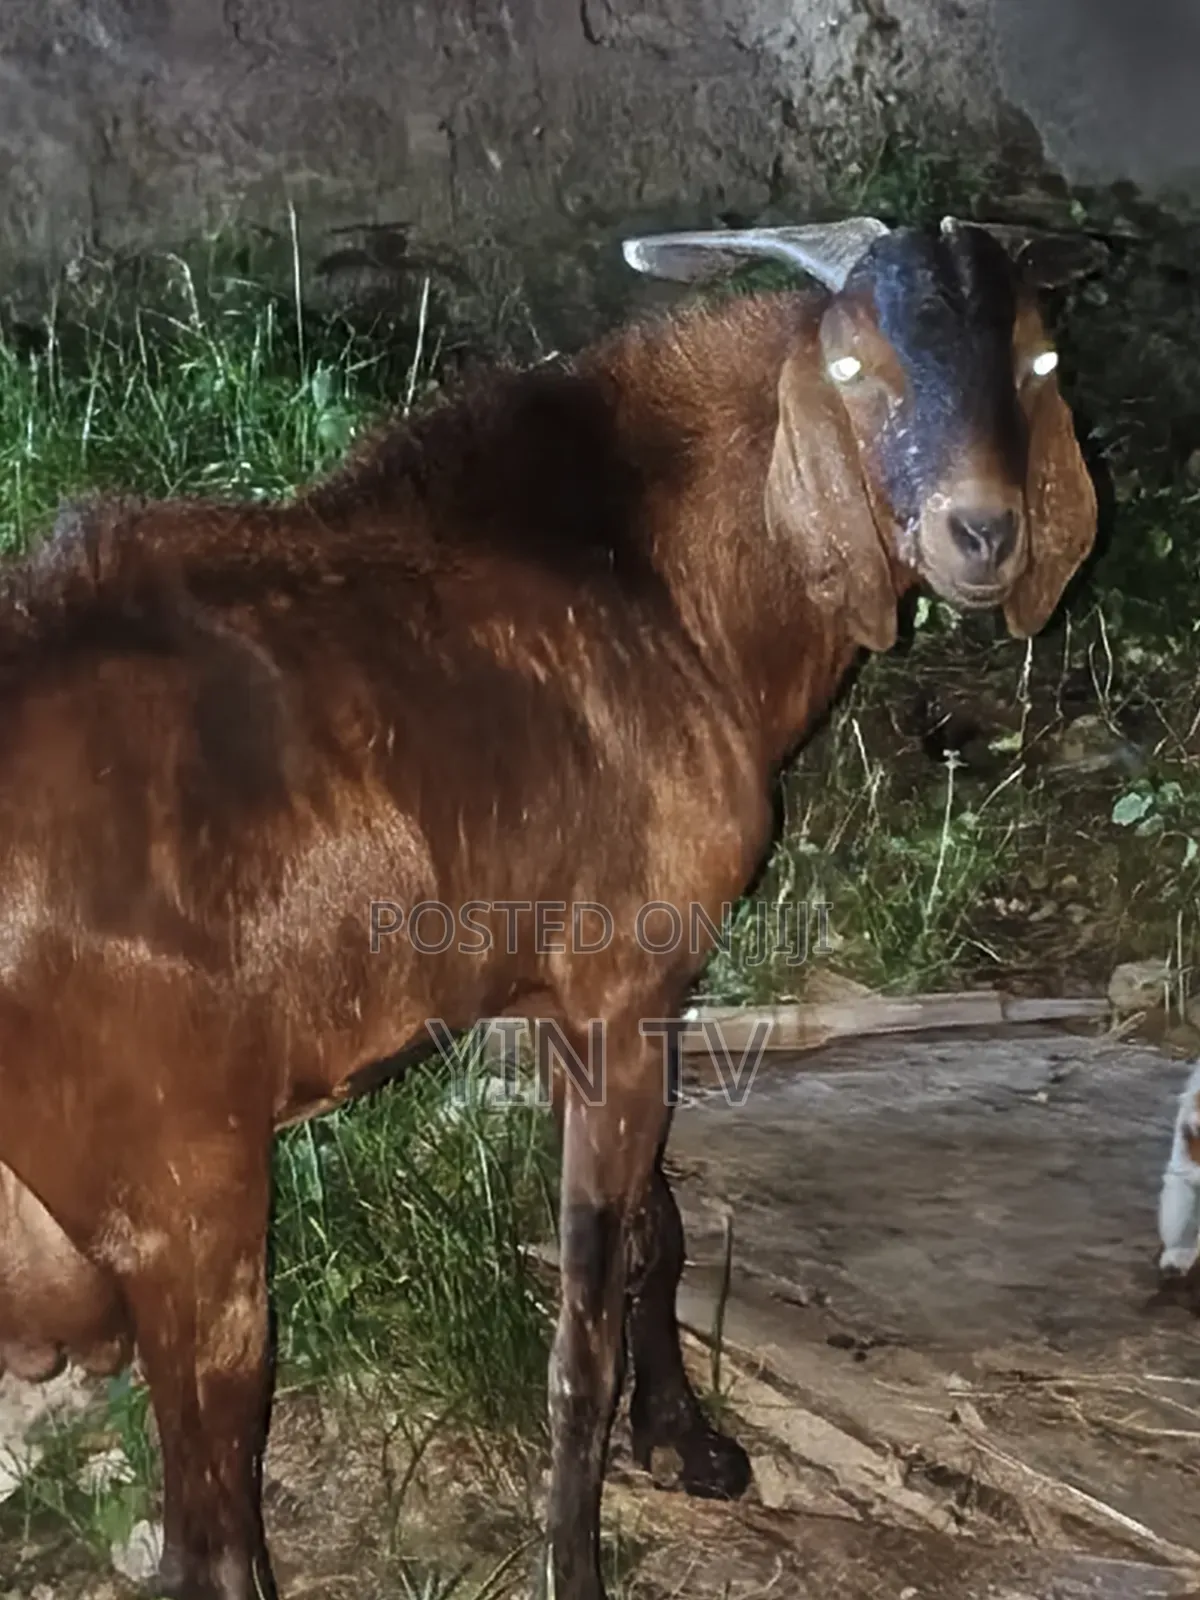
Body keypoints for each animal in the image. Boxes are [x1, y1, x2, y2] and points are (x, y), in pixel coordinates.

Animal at [0, 213, 1099, 1600]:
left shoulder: (572, 989)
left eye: (1038, 359)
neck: (655, 576)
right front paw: (581, 1550)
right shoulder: (634, 976)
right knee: (212, 1539)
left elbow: (656, 1234)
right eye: (856, 370)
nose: (982, 534)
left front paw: (688, 1442)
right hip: (188, 1196)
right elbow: (585, 1324)